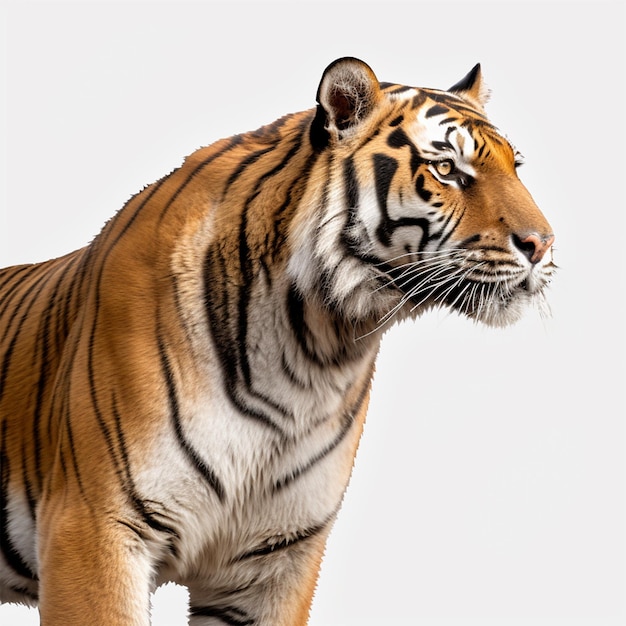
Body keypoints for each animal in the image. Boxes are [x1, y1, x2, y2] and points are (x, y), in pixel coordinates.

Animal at [2, 56, 552, 620]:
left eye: (516, 167)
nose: (543, 244)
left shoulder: (275, 557)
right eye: (446, 170)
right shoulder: (95, 527)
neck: (314, 348)